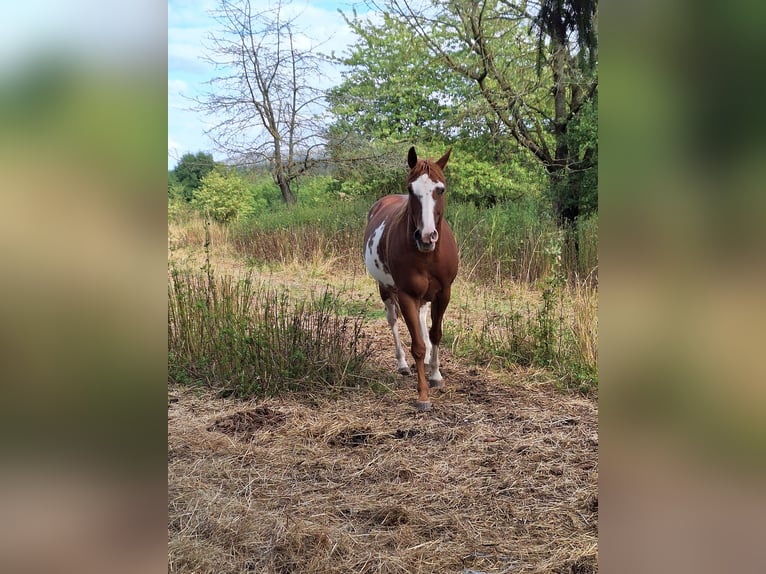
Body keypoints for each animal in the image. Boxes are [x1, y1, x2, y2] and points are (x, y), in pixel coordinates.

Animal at [364, 146, 458, 411]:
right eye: (410, 189)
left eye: (441, 189)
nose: (426, 236)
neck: (427, 255)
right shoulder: (405, 294)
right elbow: (417, 344)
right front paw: (423, 395)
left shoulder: (444, 293)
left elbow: (435, 334)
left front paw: (435, 375)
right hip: (386, 289)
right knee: (394, 321)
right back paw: (403, 364)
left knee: (422, 319)